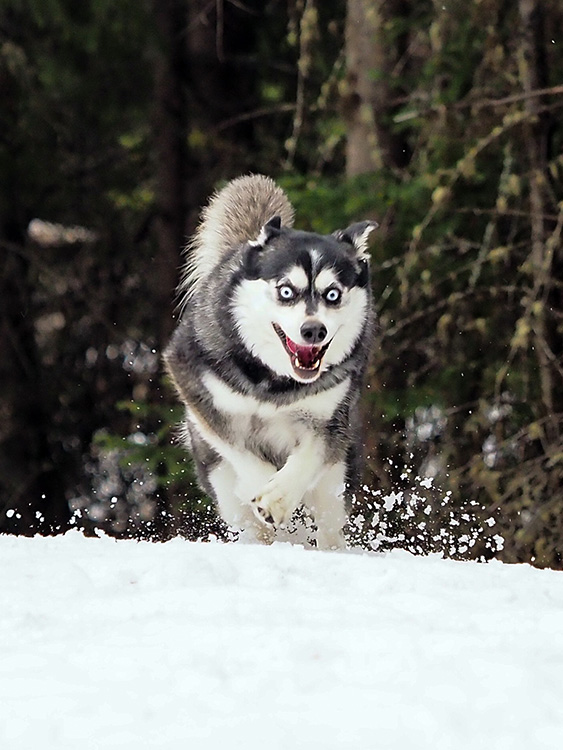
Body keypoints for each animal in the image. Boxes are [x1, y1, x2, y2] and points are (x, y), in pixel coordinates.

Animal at [163, 178, 376, 552]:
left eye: (333, 294)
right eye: (286, 291)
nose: (313, 330)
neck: (276, 383)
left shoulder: (329, 422)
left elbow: (306, 460)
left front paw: (277, 498)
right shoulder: (193, 383)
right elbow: (240, 451)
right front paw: (262, 486)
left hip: (336, 481)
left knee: (330, 525)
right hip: (219, 480)